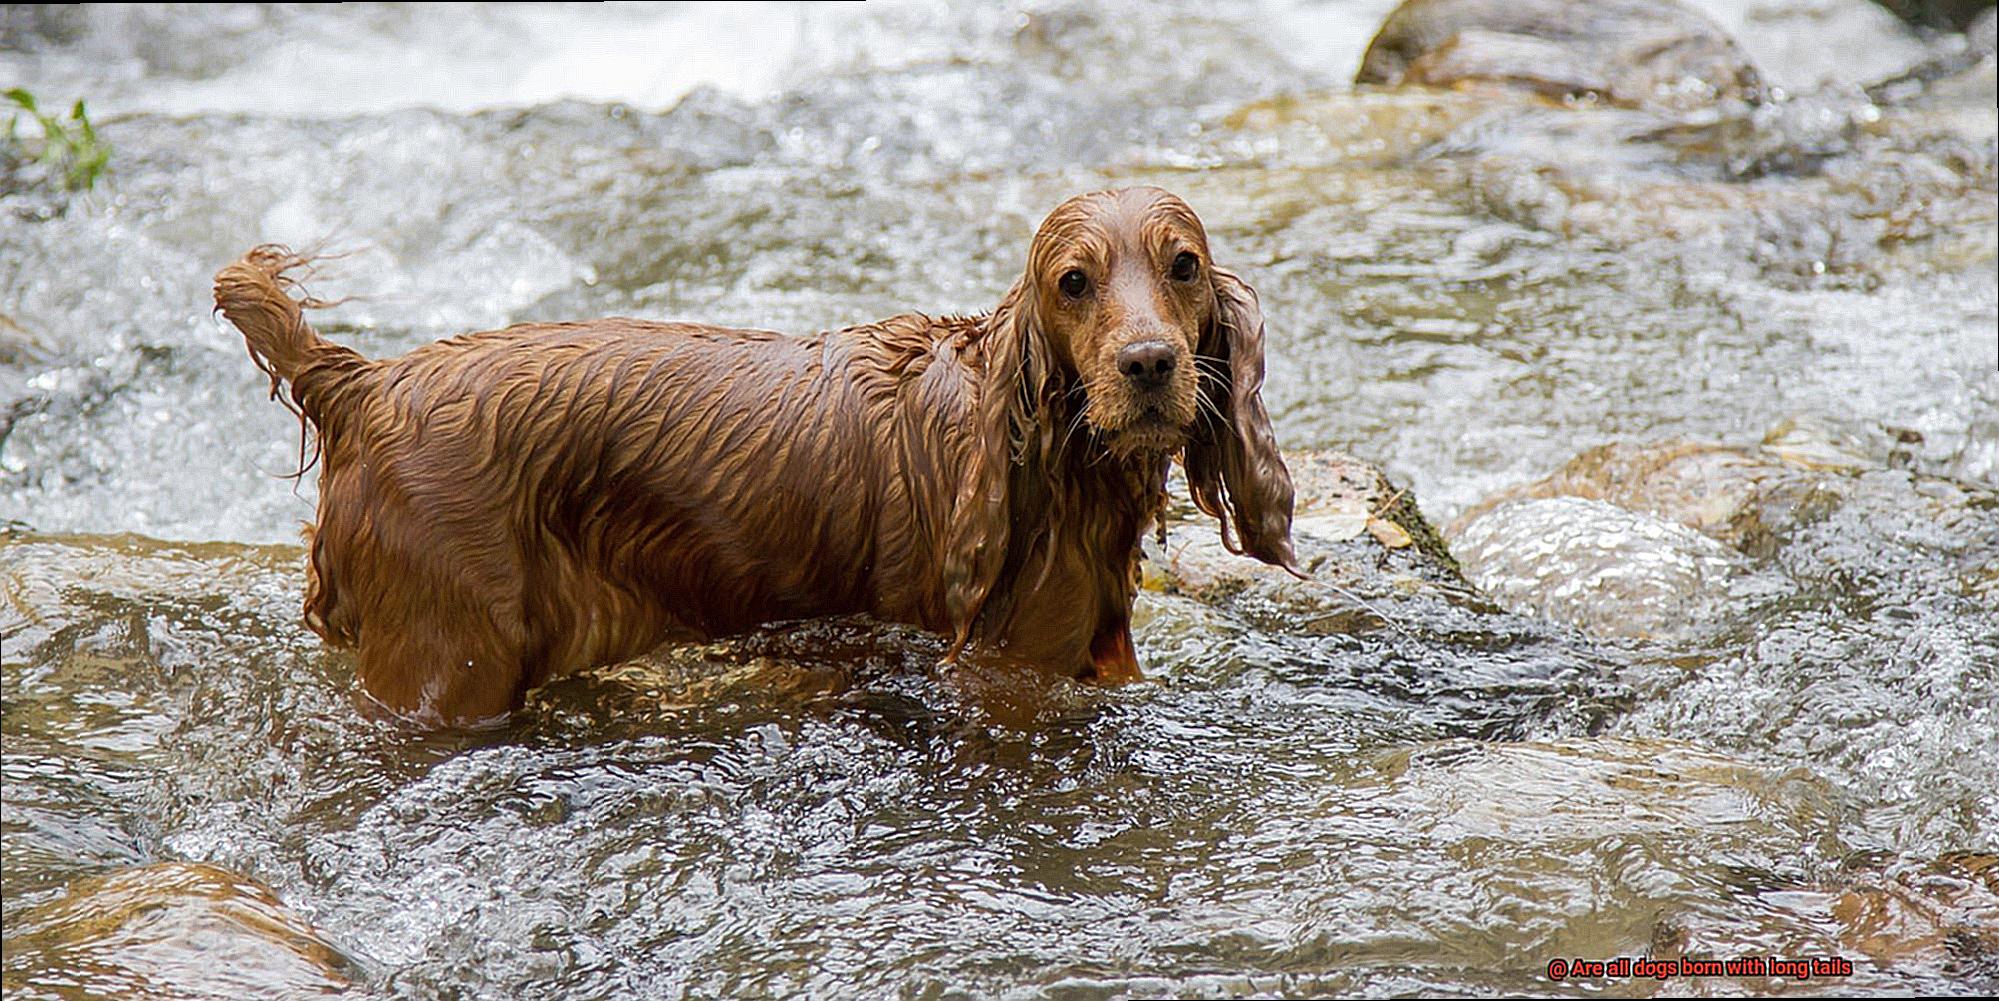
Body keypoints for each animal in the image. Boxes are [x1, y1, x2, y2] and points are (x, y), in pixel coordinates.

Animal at [210, 185, 1287, 719]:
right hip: (448, 661)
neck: (1047, 460)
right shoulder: (1003, 670)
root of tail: (363, 382)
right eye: (1073, 281)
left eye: (1182, 265)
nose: (1148, 364)